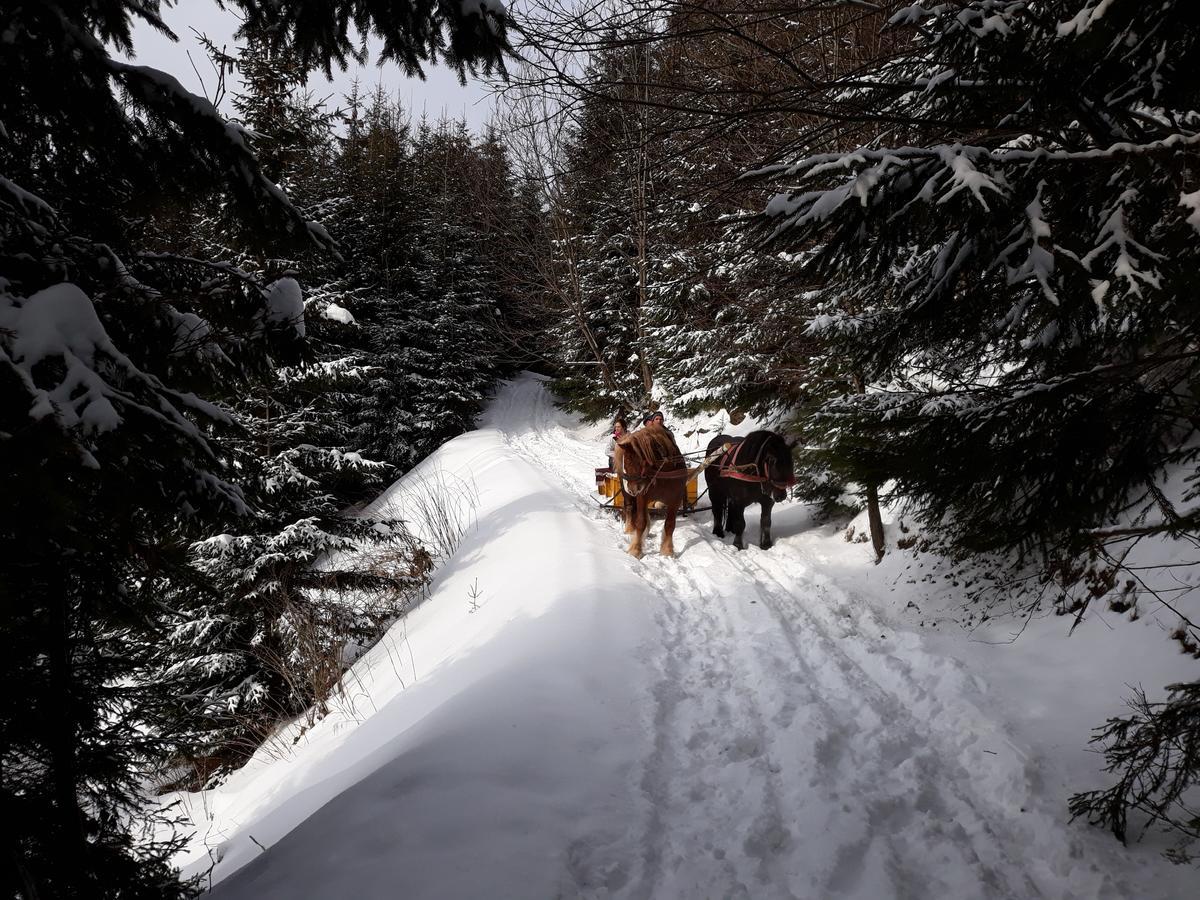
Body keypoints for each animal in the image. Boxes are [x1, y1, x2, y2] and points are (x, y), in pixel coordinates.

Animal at [614, 422, 691, 556]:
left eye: (641, 461)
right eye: (626, 462)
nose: (633, 489)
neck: (665, 472)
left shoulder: (675, 499)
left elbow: (670, 524)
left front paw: (667, 551)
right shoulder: (642, 496)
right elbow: (640, 522)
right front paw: (635, 549)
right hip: (627, 493)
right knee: (629, 507)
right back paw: (629, 529)